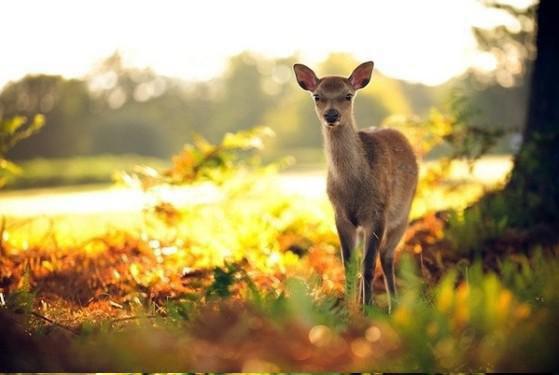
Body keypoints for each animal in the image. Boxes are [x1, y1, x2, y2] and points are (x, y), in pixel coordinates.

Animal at [296, 61, 418, 312]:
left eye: (348, 95)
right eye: (317, 96)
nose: (331, 114)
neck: (353, 188)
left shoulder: (377, 211)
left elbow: (369, 265)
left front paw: (368, 309)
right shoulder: (340, 215)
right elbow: (349, 265)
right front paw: (349, 310)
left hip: (404, 212)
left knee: (386, 255)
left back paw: (393, 306)